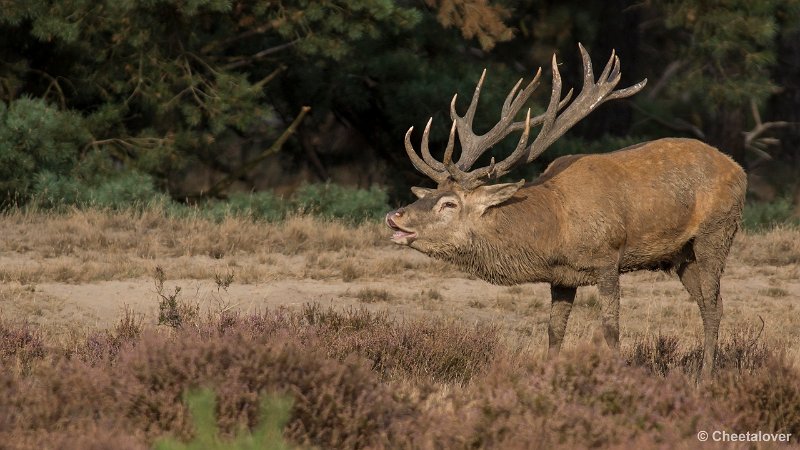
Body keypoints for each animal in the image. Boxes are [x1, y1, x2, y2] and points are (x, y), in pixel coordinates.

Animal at [384, 44, 748, 380]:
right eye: (431, 194)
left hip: (716, 230)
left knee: (714, 305)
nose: (395, 216)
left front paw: (618, 376)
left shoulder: (608, 257)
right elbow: (554, 331)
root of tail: (739, 170)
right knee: (709, 302)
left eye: (449, 204)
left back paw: (706, 376)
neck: (555, 231)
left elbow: (610, 329)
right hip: (680, 255)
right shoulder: (561, 277)